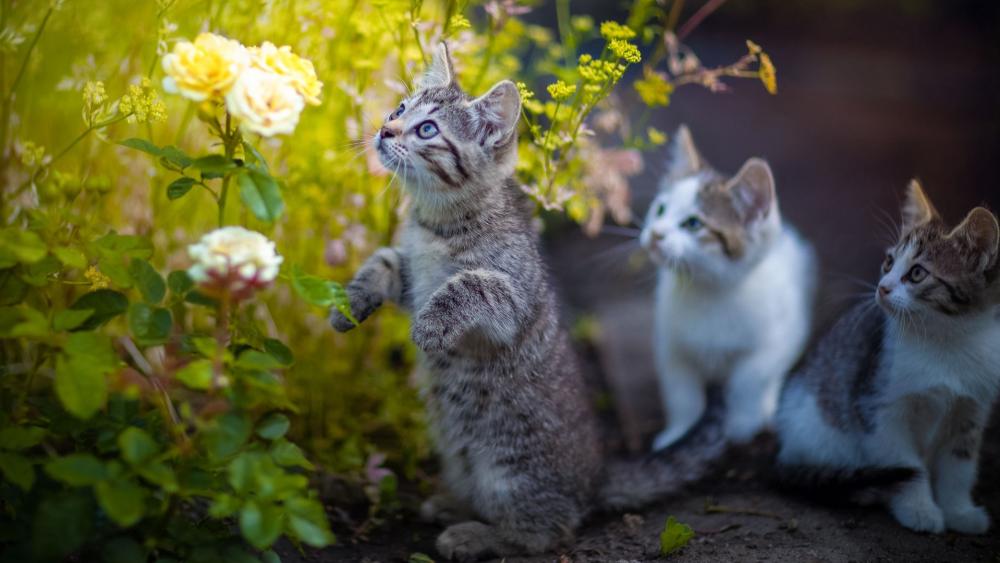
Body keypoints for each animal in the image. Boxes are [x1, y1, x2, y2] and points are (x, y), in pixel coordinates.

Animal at [332, 46, 732, 560]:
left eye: (427, 130)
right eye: (399, 109)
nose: (385, 129)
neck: (436, 224)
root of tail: (593, 479)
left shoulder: (512, 297)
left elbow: (470, 285)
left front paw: (429, 327)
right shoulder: (412, 277)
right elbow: (383, 262)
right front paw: (350, 303)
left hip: (511, 471)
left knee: (545, 531)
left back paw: (475, 535)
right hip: (461, 457)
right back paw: (453, 506)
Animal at [640, 126, 820, 450]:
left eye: (693, 224)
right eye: (659, 209)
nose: (655, 234)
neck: (708, 292)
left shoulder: (776, 339)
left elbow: (748, 379)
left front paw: (742, 425)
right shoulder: (670, 346)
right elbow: (682, 394)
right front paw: (677, 433)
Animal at [776, 180, 1000, 532]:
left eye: (918, 273)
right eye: (889, 262)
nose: (882, 287)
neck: (947, 341)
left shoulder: (971, 410)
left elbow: (959, 468)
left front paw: (959, 511)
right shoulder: (878, 406)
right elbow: (906, 464)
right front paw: (920, 510)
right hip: (816, 426)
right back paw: (862, 488)